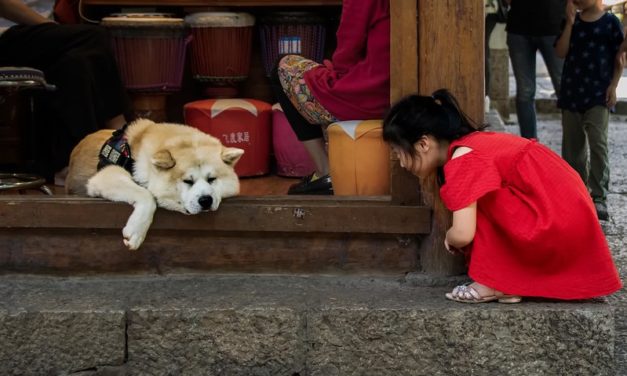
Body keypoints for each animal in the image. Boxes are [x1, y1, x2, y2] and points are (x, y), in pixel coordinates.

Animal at [65, 119, 243, 251]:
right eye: (188, 181)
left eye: (212, 179)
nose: (206, 200)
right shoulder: (105, 176)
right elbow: (147, 195)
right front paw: (137, 230)